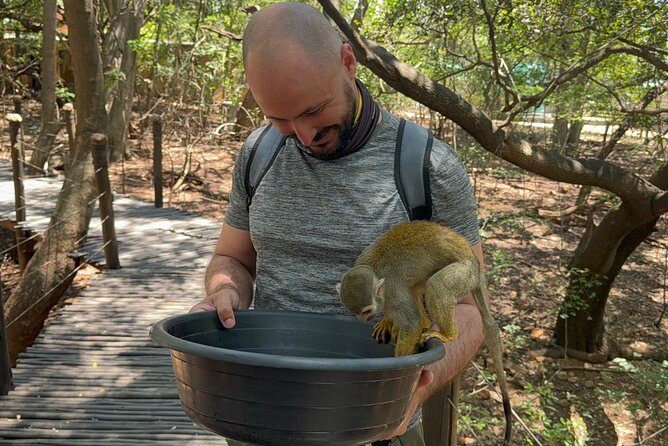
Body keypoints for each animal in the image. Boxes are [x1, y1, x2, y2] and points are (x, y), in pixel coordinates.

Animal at [336, 220, 512, 446]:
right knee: (418, 285)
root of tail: (475, 264)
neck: (374, 270)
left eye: (366, 312)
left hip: (464, 273)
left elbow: (411, 322)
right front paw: (387, 321)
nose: (363, 319)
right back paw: (424, 322)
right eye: (356, 312)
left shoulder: (391, 289)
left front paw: (399, 365)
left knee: (436, 285)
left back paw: (448, 334)